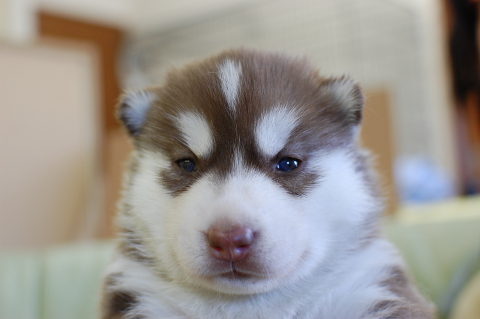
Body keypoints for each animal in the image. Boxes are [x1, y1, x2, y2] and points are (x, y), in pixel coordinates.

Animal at [101, 48, 436, 318]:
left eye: (288, 163)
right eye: (186, 164)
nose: (230, 238)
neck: (250, 305)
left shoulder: (368, 286)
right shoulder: (139, 296)